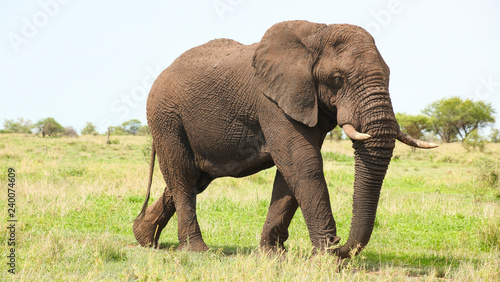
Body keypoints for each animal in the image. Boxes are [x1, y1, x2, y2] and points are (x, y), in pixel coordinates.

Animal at [134, 19, 438, 258]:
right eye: (337, 79)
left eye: (389, 75)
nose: (340, 245)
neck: (317, 32)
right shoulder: (271, 101)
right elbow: (303, 162)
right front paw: (327, 258)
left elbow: (290, 172)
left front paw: (272, 254)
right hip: (166, 117)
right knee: (183, 175)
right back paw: (197, 251)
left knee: (194, 178)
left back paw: (144, 238)